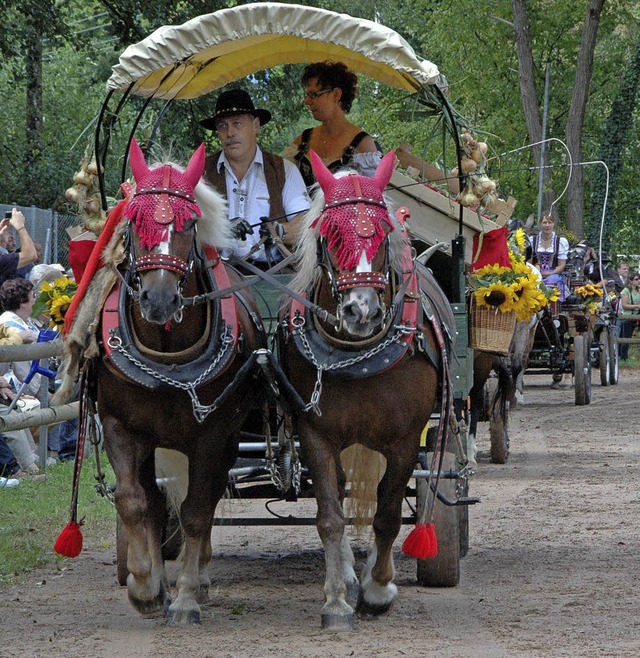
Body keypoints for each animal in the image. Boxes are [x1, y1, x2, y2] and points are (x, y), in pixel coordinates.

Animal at [57, 138, 264, 620]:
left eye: (189, 222)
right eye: (134, 221)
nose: (159, 300)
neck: (167, 354)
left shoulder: (212, 435)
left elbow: (196, 510)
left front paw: (186, 596)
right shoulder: (121, 426)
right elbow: (136, 501)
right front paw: (146, 587)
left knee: (206, 499)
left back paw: (198, 578)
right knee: (152, 499)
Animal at [280, 151, 456, 628]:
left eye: (382, 233)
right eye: (329, 233)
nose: (362, 311)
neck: (357, 355)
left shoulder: (404, 440)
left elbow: (388, 516)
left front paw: (378, 589)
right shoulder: (315, 434)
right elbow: (330, 516)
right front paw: (337, 600)